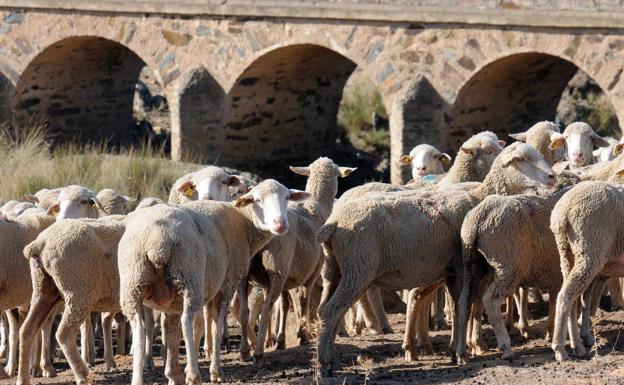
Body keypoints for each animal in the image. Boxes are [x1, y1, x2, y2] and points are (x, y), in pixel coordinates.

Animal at [16, 216, 126, 384]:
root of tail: (40, 243)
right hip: (78, 292)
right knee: (64, 333)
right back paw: (82, 374)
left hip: (44, 289)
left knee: (26, 330)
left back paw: (23, 379)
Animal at [118, 179, 308, 384]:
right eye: (257, 200)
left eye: (287, 197)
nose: (280, 224)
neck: (243, 223)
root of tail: (157, 242)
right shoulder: (227, 284)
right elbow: (216, 325)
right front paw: (215, 371)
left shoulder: (172, 302)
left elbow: (171, 331)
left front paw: (173, 374)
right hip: (190, 278)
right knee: (187, 321)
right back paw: (194, 375)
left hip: (133, 283)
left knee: (139, 329)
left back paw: (139, 379)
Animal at [316, 141, 556, 372]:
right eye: (520, 159)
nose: (552, 177)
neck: (478, 196)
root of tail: (333, 223)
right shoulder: (462, 268)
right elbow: (463, 306)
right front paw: (463, 350)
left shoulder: (452, 271)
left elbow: (464, 306)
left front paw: (458, 348)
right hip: (358, 269)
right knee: (331, 311)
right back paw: (325, 362)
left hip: (335, 270)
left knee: (325, 310)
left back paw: (333, 356)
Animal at [552, 179, 624, 360]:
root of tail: (563, 212)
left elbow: (587, 299)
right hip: (590, 250)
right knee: (567, 295)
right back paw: (560, 349)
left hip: (568, 253)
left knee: (574, 297)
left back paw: (578, 343)